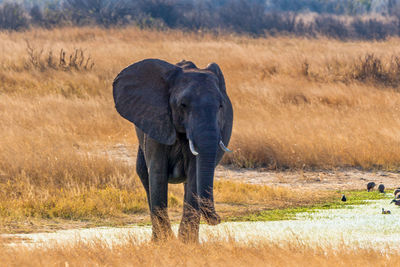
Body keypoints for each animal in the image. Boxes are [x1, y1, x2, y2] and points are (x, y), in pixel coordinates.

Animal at [112, 58, 233, 243]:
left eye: (221, 106)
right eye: (183, 105)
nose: (219, 219)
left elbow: (194, 175)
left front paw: (187, 243)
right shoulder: (157, 121)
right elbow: (157, 174)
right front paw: (164, 243)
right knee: (144, 174)